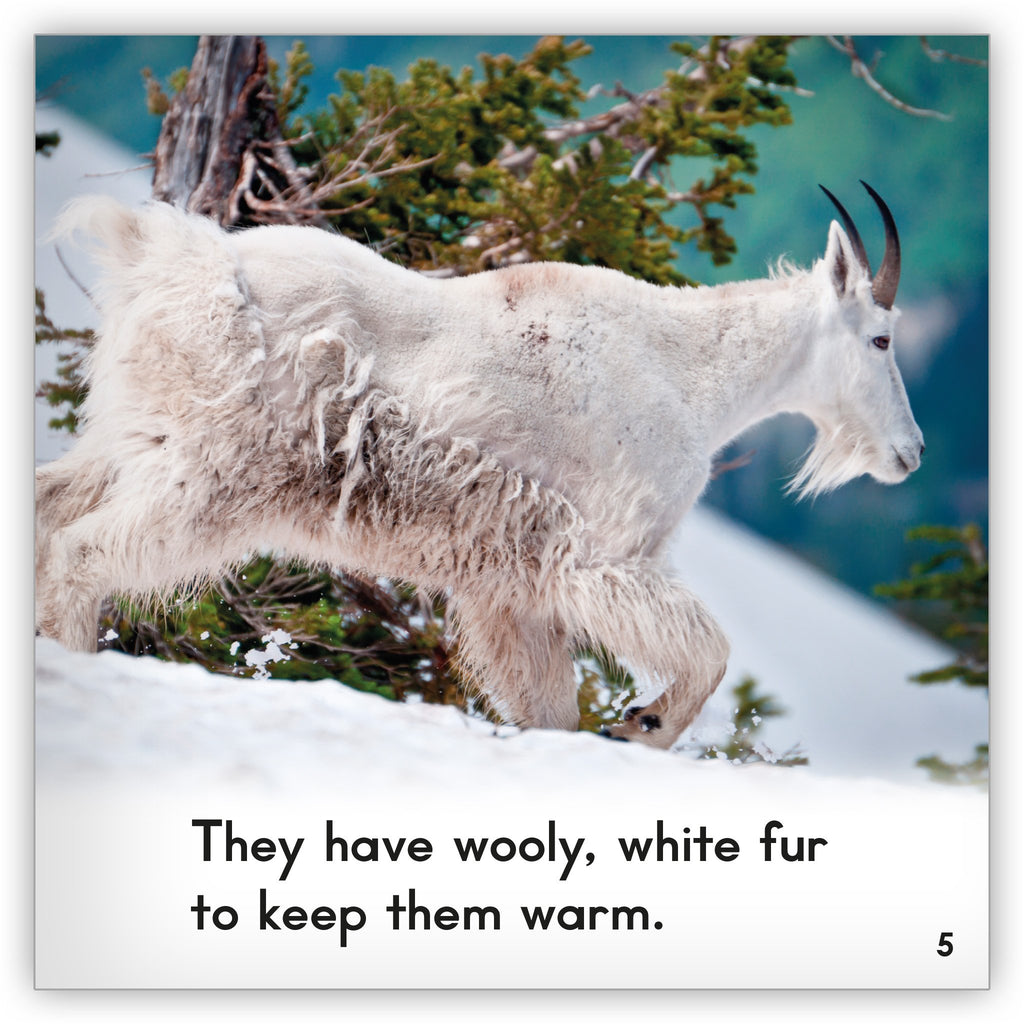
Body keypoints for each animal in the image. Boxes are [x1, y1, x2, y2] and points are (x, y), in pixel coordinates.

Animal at [35, 182, 924, 749]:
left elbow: (547, 710)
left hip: (136, 438)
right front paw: (641, 726)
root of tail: (170, 260)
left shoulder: (509, 580)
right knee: (84, 553)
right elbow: (707, 650)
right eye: (881, 338)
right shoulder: (601, 554)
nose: (909, 455)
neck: (693, 371)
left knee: (49, 508)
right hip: (218, 470)